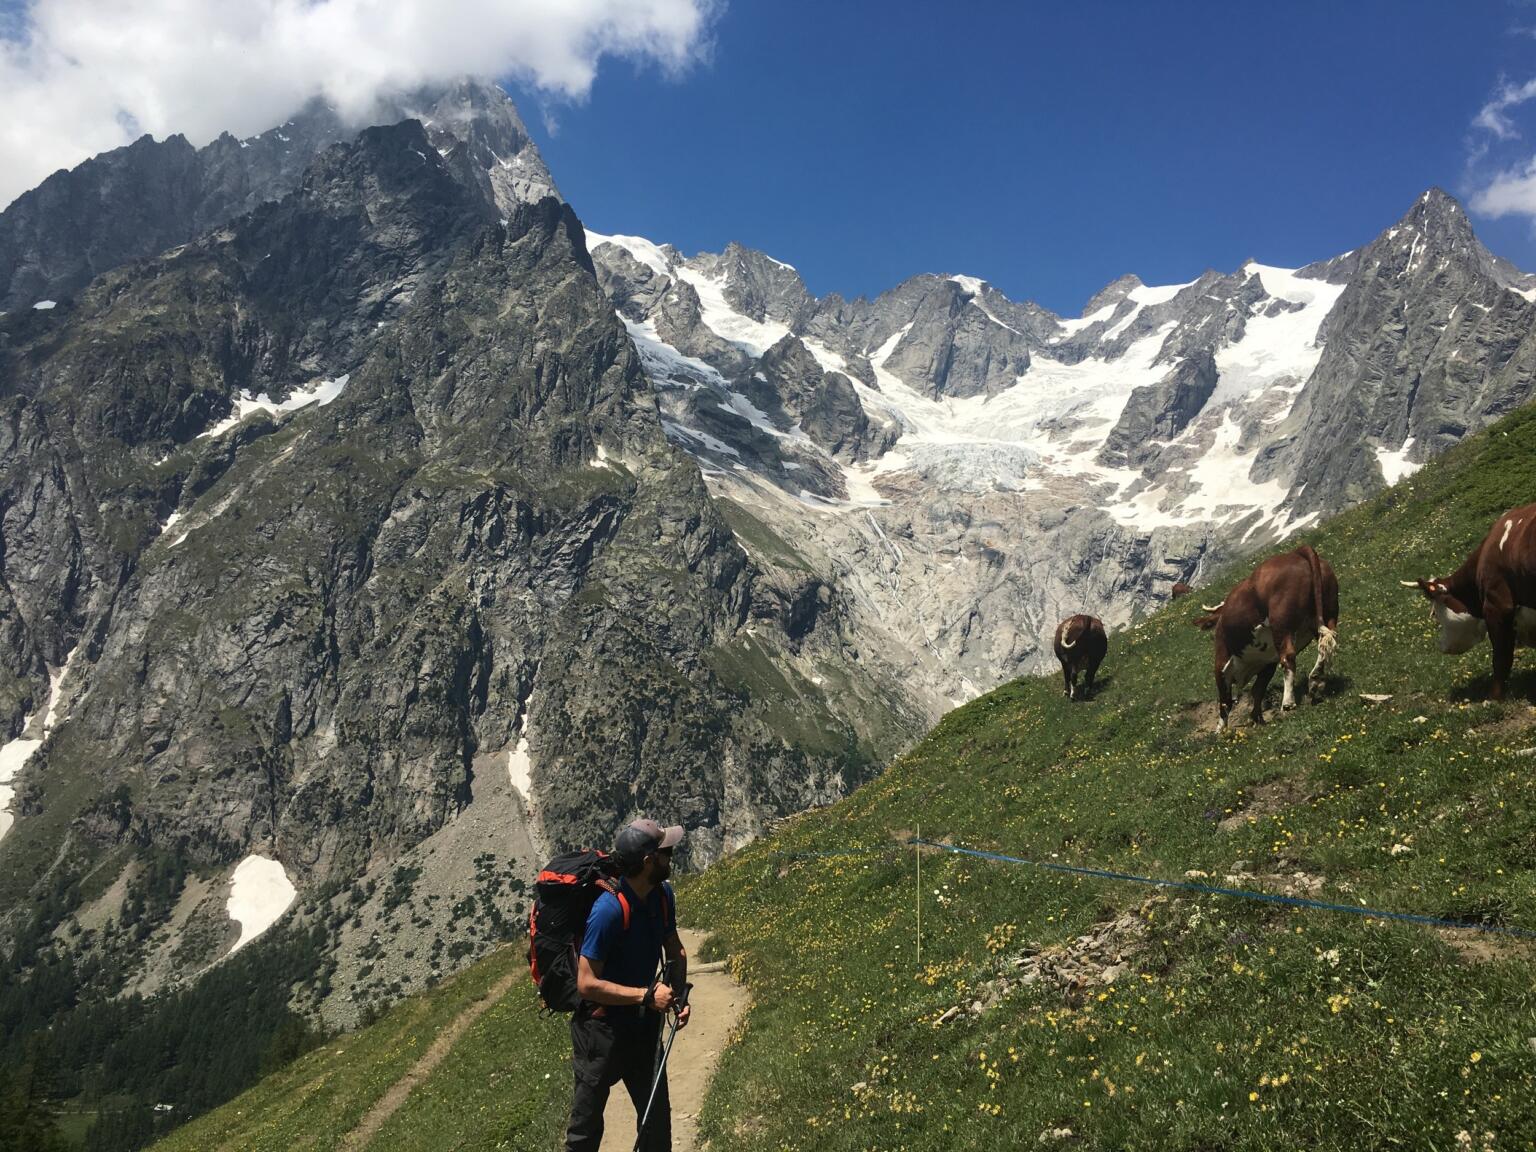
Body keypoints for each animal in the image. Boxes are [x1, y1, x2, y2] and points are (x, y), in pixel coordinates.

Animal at [1191, 543, 1339, 731]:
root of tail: (1297, 552)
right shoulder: (1268, 662)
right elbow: (1257, 690)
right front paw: (1257, 718)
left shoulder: (1221, 664)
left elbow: (1225, 702)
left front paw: (1220, 730)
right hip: (1328, 612)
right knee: (1326, 641)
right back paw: (1315, 680)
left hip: (1281, 624)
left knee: (1288, 657)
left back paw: (1288, 703)